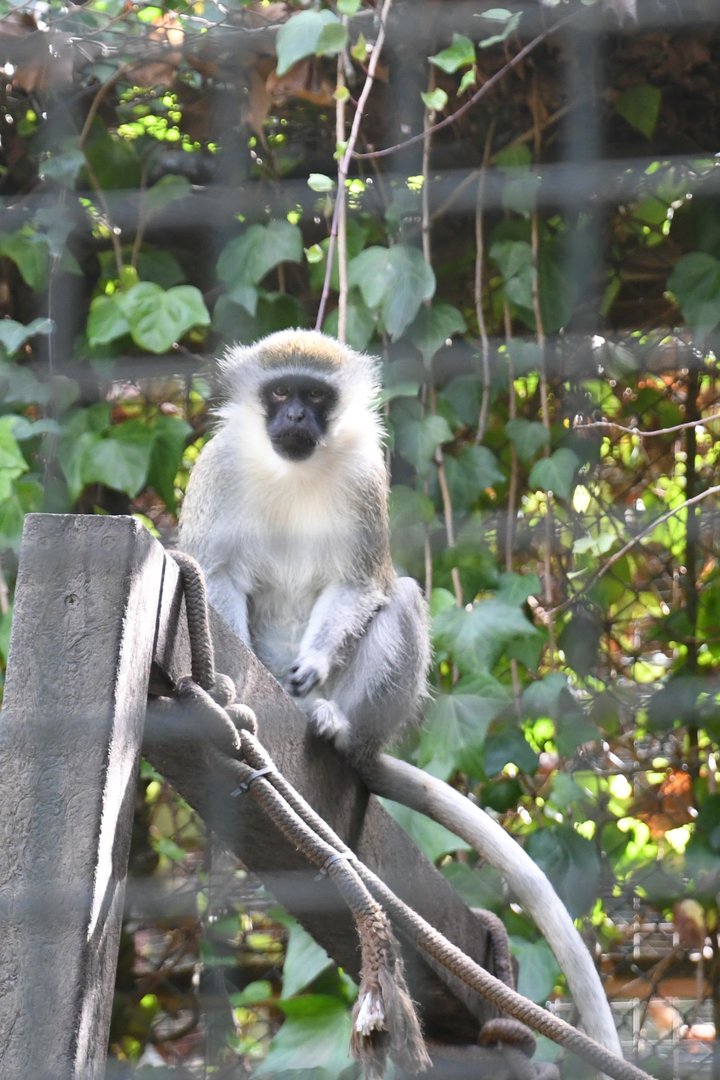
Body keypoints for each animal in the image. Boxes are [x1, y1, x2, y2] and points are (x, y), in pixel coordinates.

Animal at [178, 328, 430, 764]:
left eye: (314, 395)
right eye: (280, 392)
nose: (295, 416)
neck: (292, 470)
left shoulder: (363, 475)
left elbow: (356, 583)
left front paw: (314, 660)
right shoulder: (219, 465)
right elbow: (217, 574)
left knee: (405, 597)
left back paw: (343, 732)